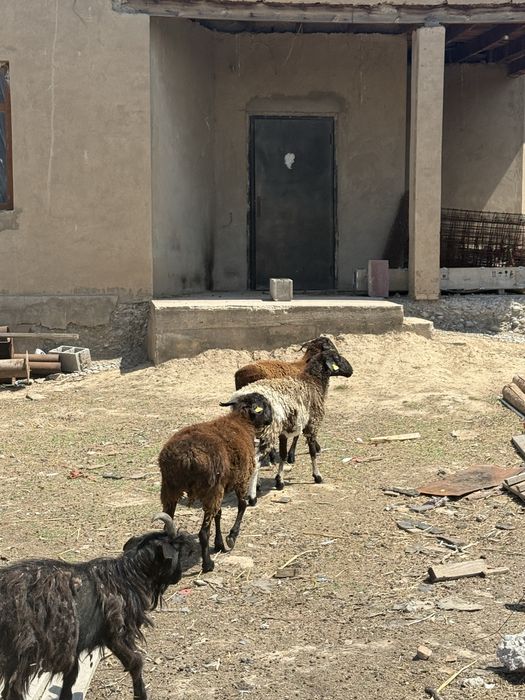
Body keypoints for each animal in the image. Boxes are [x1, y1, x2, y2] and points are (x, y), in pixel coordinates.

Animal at [0, 513, 192, 700]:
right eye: (177, 548)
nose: (178, 576)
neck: (127, 577)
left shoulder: (77, 643)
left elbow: (71, 676)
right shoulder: (114, 634)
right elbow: (135, 662)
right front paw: (141, 694)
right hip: (22, 652)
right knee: (13, 690)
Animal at [158, 392, 273, 573]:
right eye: (264, 404)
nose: (271, 419)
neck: (241, 421)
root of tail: (186, 456)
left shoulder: (222, 487)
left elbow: (219, 514)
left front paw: (219, 544)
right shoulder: (241, 480)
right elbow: (242, 506)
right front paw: (231, 537)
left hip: (170, 487)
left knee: (166, 528)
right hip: (210, 489)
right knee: (203, 533)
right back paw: (208, 564)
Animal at [223, 349, 353, 493]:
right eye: (337, 357)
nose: (351, 371)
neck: (313, 382)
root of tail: (245, 399)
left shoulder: (284, 431)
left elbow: (283, 454)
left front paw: (279, 480)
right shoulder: (312, 424)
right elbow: (312, 452)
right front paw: (317, 476)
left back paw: (257, 484)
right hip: (269, 431)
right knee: (256, 460)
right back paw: (254, 491)